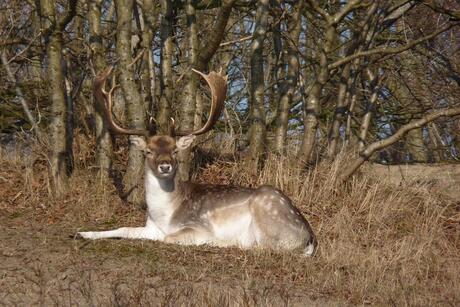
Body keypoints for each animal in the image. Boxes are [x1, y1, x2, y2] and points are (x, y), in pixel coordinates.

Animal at [77, 67, 318, 258]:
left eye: (175, 150)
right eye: (148, 151)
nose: (165, 165)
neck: (165, 215)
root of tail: (310, 239)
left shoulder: (196, 226)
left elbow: (168, 238)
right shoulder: (150, 227)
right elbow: (124, 228)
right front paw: (83, 233)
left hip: (267, 210)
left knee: (265, 247)